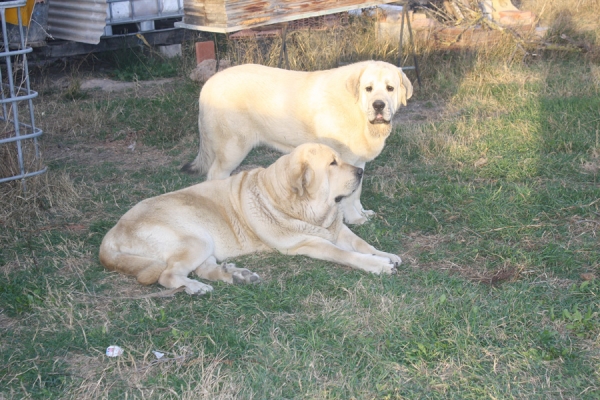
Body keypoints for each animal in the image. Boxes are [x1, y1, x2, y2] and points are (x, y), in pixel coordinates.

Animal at [101, 144, 400, 294]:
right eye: (332, 164)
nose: (361, 173)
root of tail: (110, 237)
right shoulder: (311, 244)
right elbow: (346, 254)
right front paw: (377, 265)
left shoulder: (337, 230)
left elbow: (362, 244)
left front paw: (386, 255)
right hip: (196, 239)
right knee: (168, 275)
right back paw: (195, 287)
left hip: (204, 244)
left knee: (202, 268)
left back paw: (235, 275)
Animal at [180, 61, 410, 225]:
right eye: (368, 88)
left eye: (390, 88)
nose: (378, 105)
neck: (358, 109)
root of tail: (208, 85)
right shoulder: (344, 161)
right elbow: (347, 195)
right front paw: (354, 219)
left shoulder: (358, 162)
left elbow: (356, 192)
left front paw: (362, 212)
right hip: (233, 148)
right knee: (214, 175)